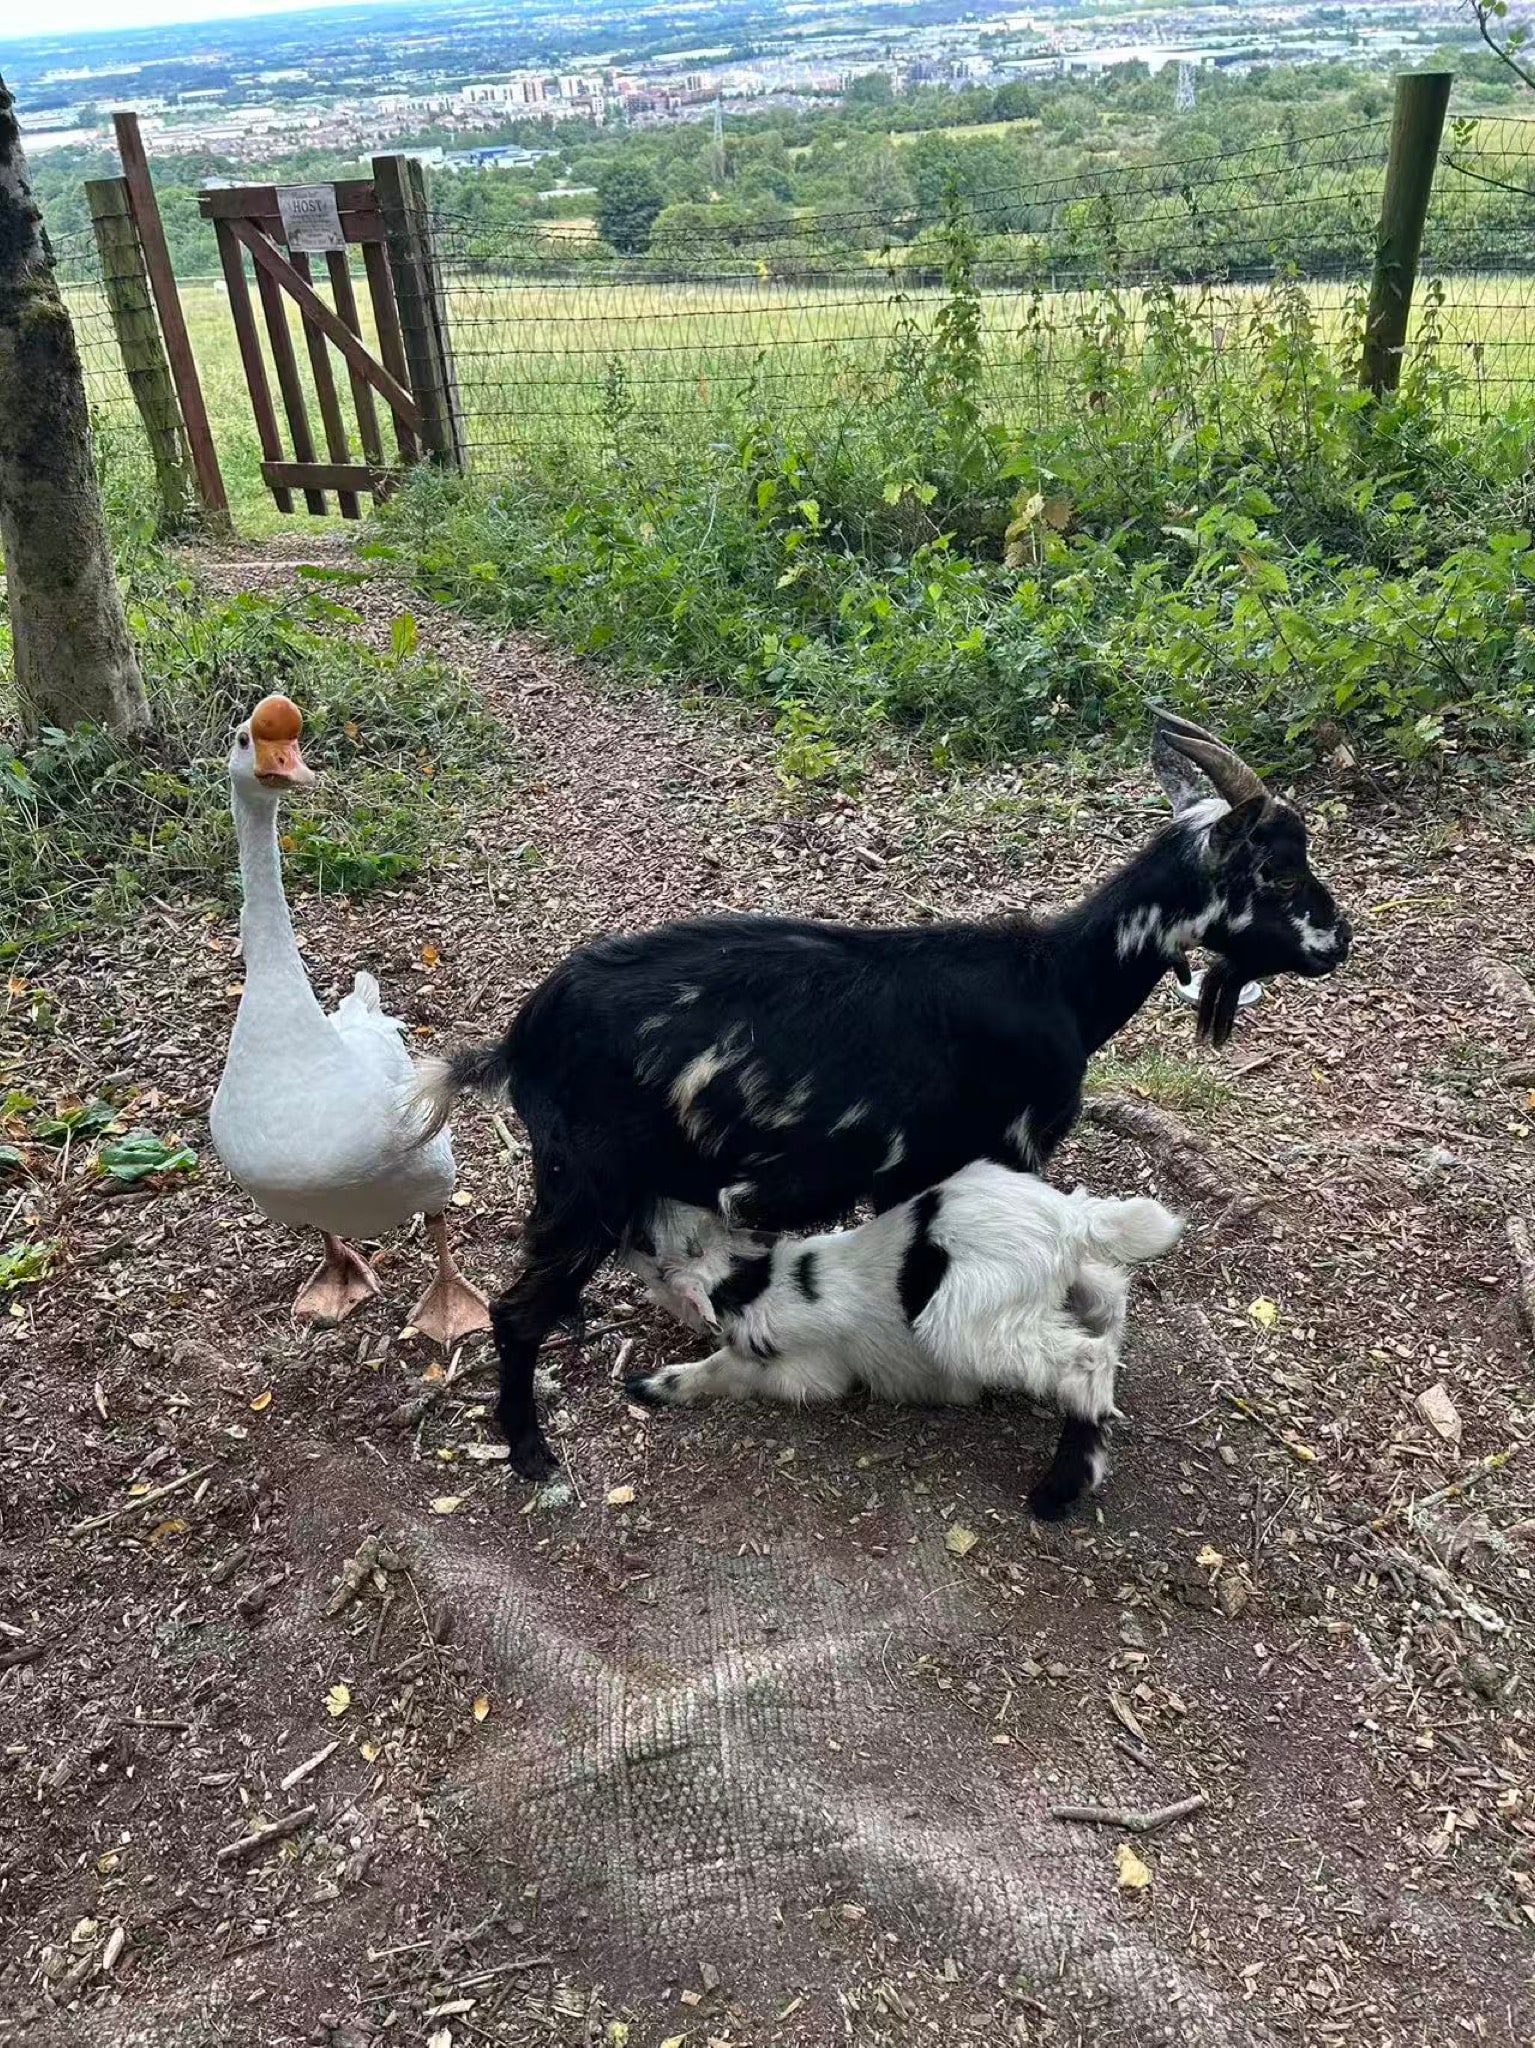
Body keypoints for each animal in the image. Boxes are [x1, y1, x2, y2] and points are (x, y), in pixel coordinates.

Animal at [413, 712, 1351, 1477]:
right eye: (1276, 872)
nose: (1338, 941)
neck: (1057, 982)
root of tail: (521, 1039)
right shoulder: (1001, 1151)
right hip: (589, 1178)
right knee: (514, 1312)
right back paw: (530, 1452)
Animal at [624, 1164, 1185, 1519]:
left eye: (655, 1246)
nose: (634, 1213)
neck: (755, 1279)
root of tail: (1072, 1222)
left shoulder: (802, 1369)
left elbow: (724, 1367)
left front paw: (654, 1383)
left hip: (965, 1327)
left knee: (1086, 1358)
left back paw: (1063, 1487)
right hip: (1065, 1283)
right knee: (1109, 1300)